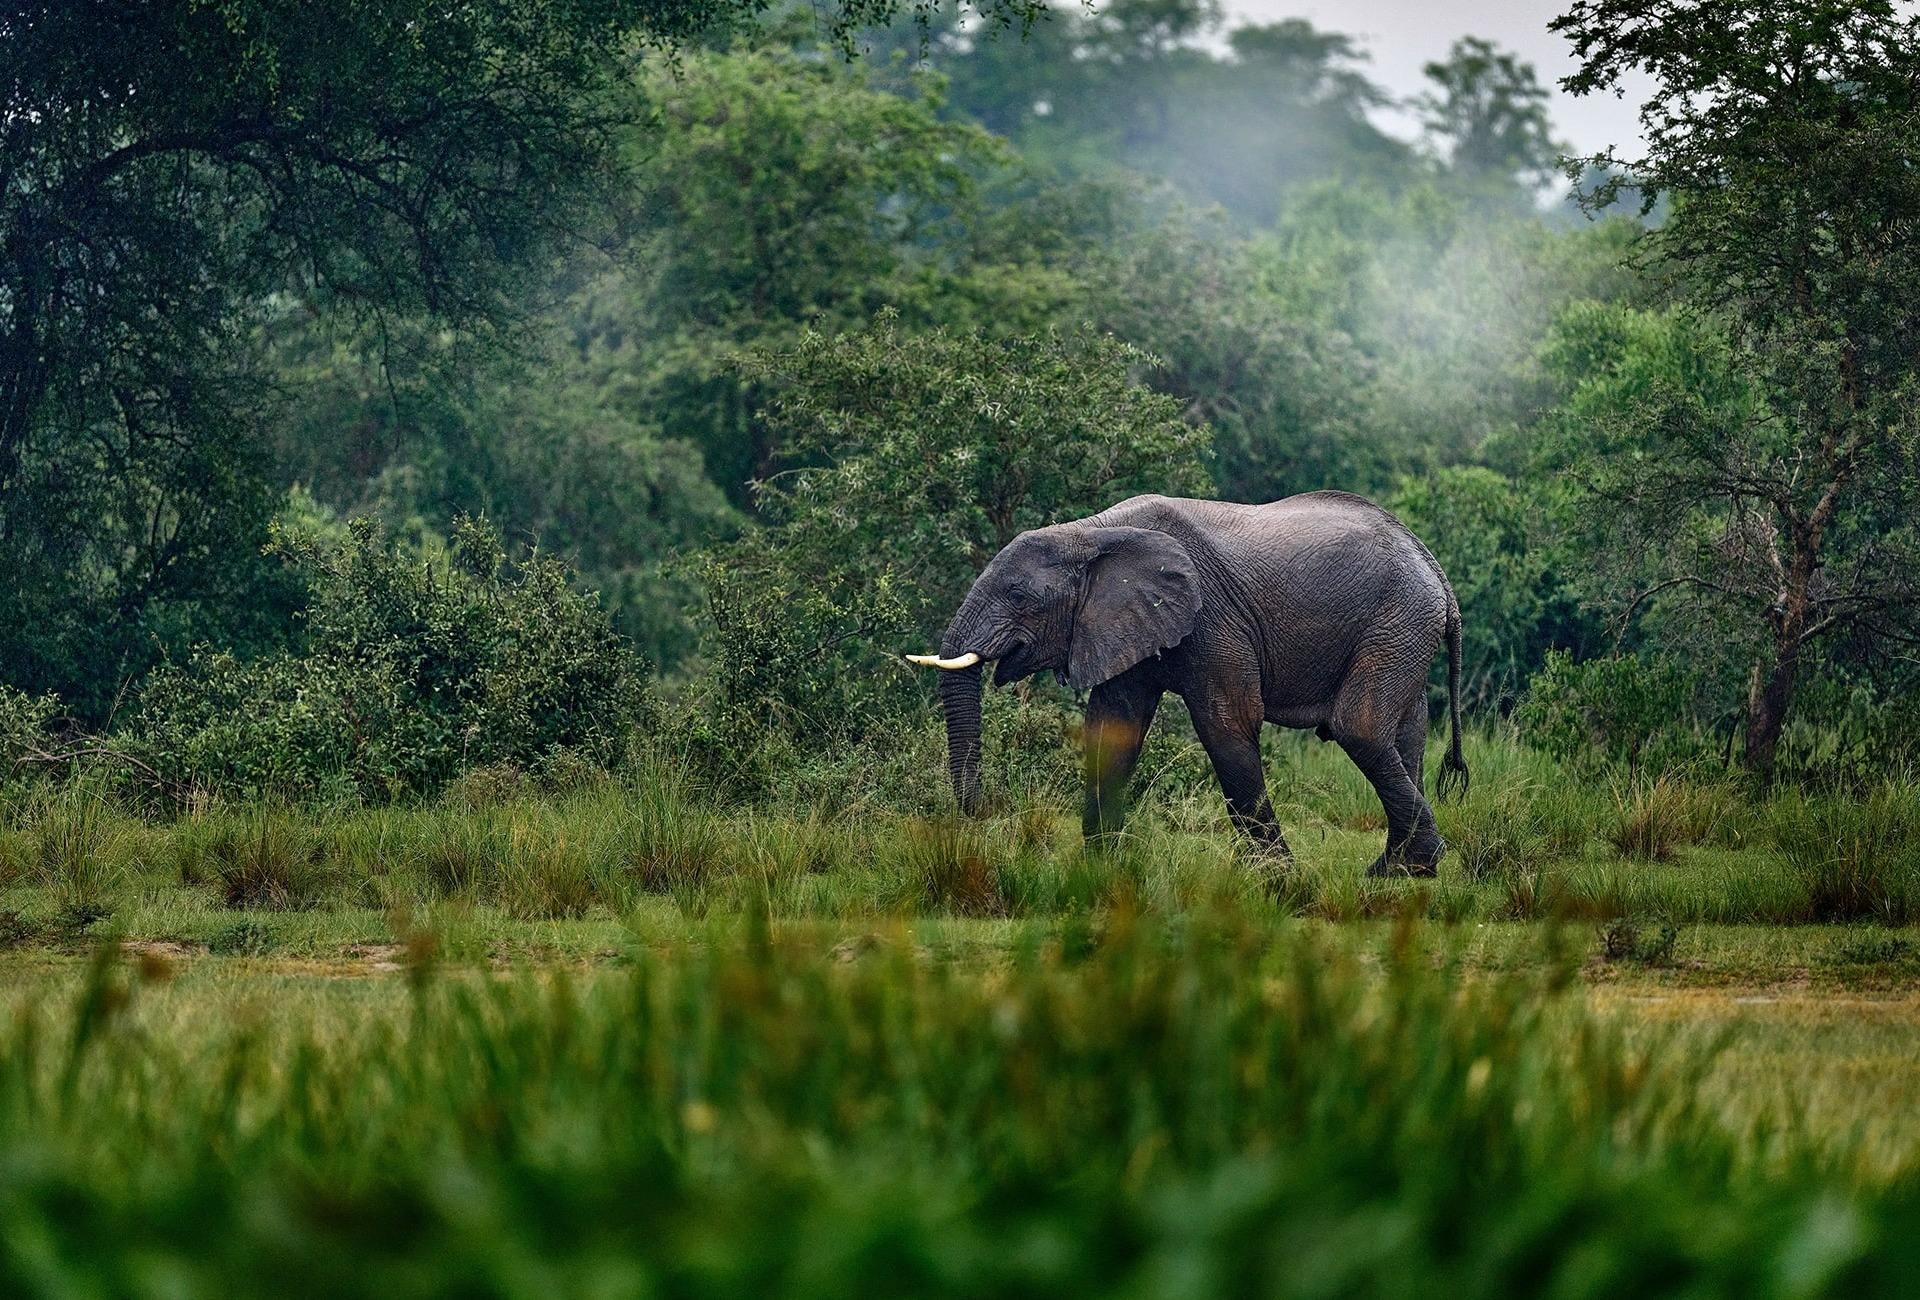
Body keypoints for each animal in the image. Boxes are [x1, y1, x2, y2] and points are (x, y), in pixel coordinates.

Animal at [906, 491, 1468, 875]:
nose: (985, 811)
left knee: (1360, 728)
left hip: (1398, 618)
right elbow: (1112, 728)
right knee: (1405, 734)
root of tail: (1435, 568)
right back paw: (1403, 871)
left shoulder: (1213, 620)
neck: (1091, 533)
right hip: (1405, 629)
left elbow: (1226, 727)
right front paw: (1101, 870)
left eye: (1019, 594)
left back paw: (1405, 867)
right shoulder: (1124, 621)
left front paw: (1279, 878)